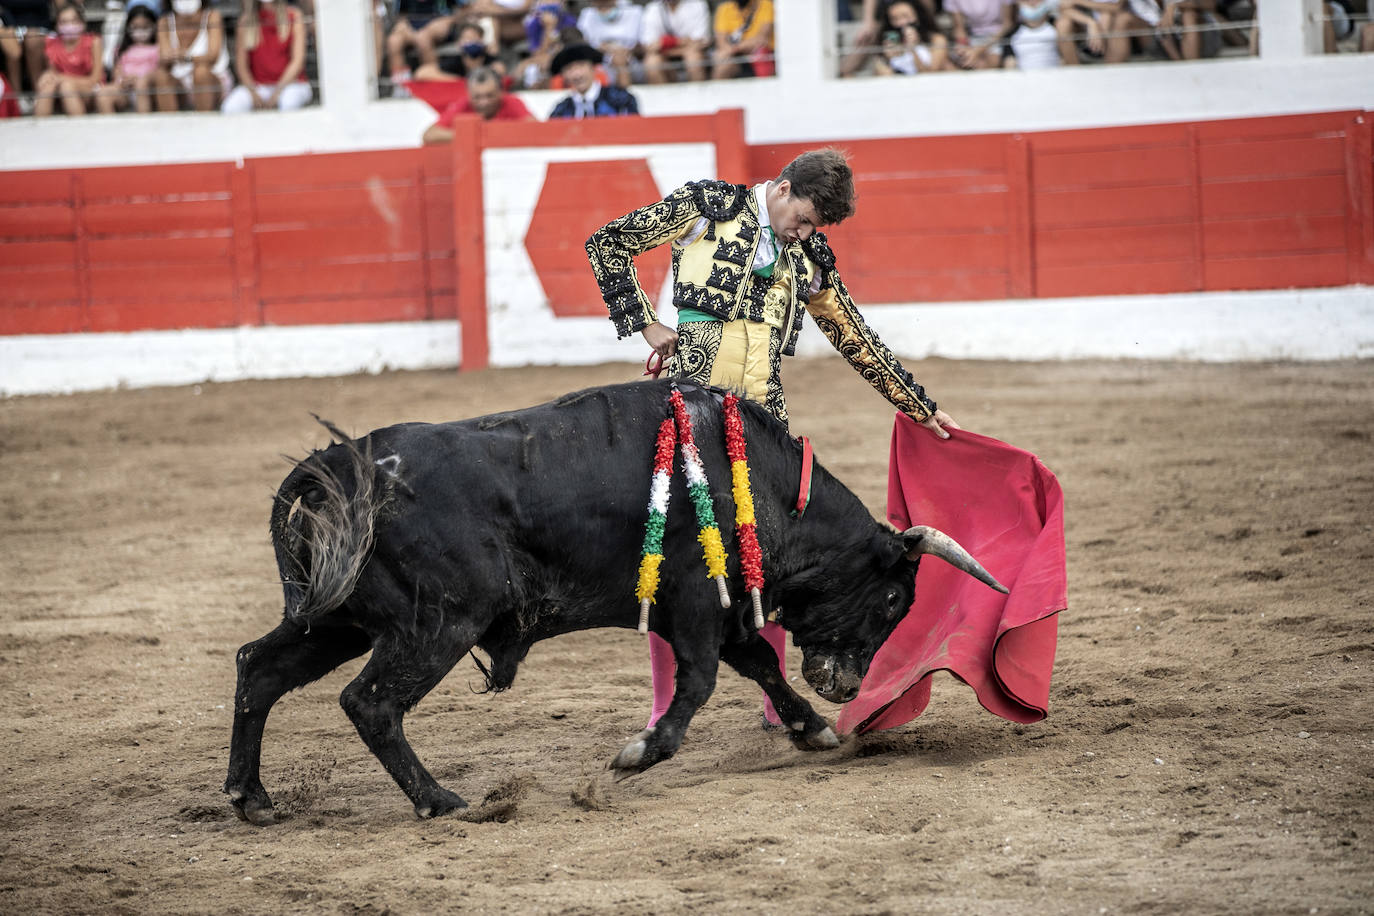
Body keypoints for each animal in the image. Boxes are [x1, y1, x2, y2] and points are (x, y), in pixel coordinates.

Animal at [222, 379, 1000, 823]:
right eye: (895, 596)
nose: (844, 686)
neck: (765, 484)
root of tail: (343, 464)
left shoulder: (720, 610)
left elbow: (760, 664)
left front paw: (813, 729)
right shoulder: (695, 600)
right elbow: (701, 681)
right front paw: (639, 752)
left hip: (338, 619)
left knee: (259, 666)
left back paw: (252, 799)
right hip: (436, 623)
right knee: (371, 702)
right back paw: (440, 801)